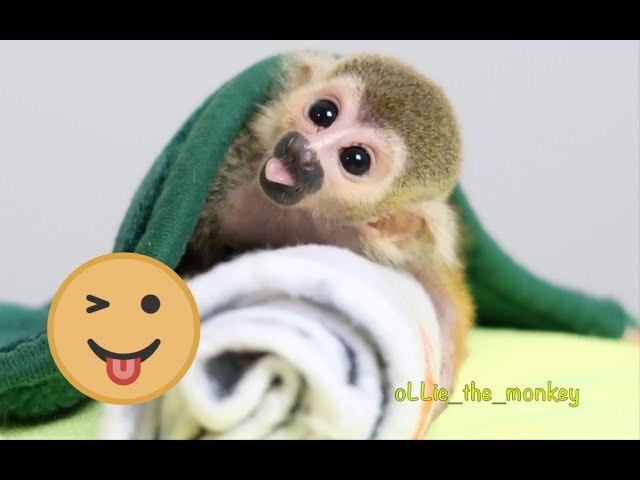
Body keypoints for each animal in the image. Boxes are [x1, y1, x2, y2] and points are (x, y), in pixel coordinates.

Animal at [177, 52, 475, 418]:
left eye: (355, 159)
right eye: (323, 113)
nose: (301, 150)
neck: (301, 214)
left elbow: (440, 286)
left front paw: (444, 368)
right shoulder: (230, 175)